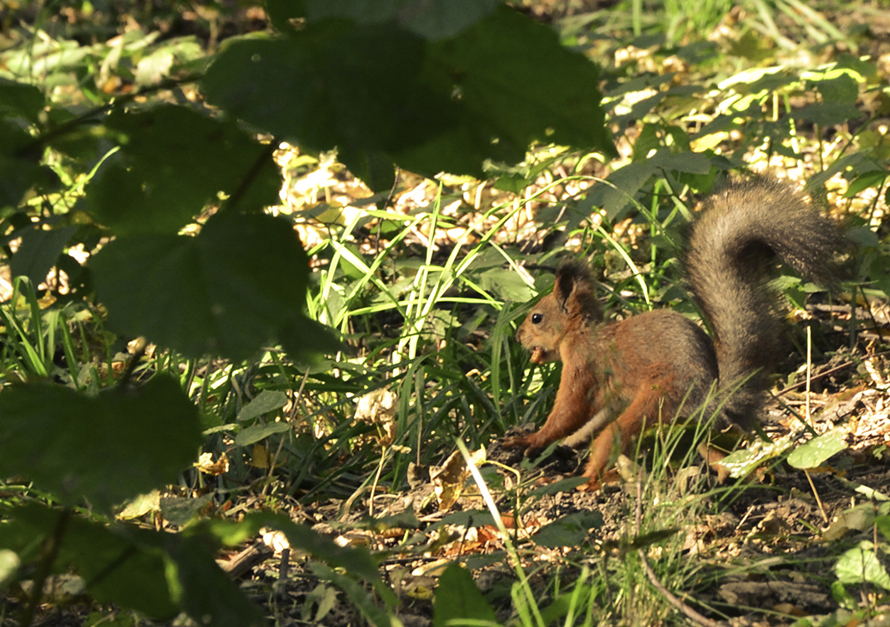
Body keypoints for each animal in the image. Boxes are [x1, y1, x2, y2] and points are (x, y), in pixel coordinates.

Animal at [502, 177, 844, 486]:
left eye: (536, 318)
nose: (517, 337)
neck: (583, 332)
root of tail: (709, 401)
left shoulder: (582, 364)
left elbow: (567, 412)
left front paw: (531, 440)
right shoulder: (613, 396)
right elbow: (592, 419)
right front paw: (567, 442)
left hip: (659, 400)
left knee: (612, 440)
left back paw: (585, 481)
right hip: (687, 425)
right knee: (712, 450)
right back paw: (728, 473)